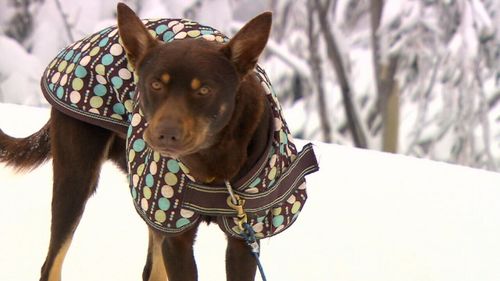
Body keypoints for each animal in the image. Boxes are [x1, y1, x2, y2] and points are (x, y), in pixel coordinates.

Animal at [0, 2, 316, 280]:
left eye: (204, 90)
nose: (164, 134)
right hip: (78, 180)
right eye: (154, 84)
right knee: (51, 264)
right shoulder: (176, 236)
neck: (212, 163)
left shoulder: (243, 238)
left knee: (150, 272)